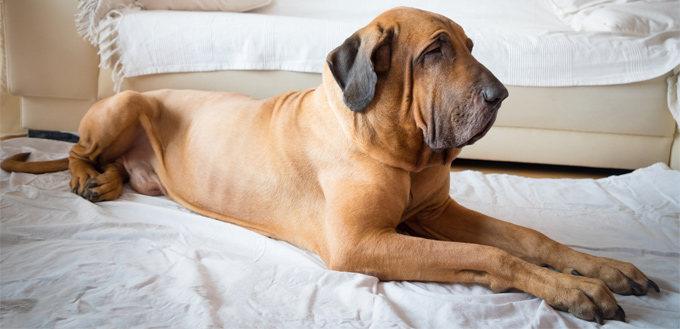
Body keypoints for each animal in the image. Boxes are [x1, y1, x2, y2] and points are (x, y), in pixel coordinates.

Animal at [1, 7, 660, 322]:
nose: (501, 95)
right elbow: (493, 255)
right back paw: (85, 178)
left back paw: (109, 181)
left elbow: (527, 237)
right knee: (73, 150)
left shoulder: (435, 212)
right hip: (129, 102)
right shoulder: (362, 242)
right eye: (436, 51)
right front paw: (577, 291)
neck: (398, 148)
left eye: (471, 47)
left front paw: (603, 269)